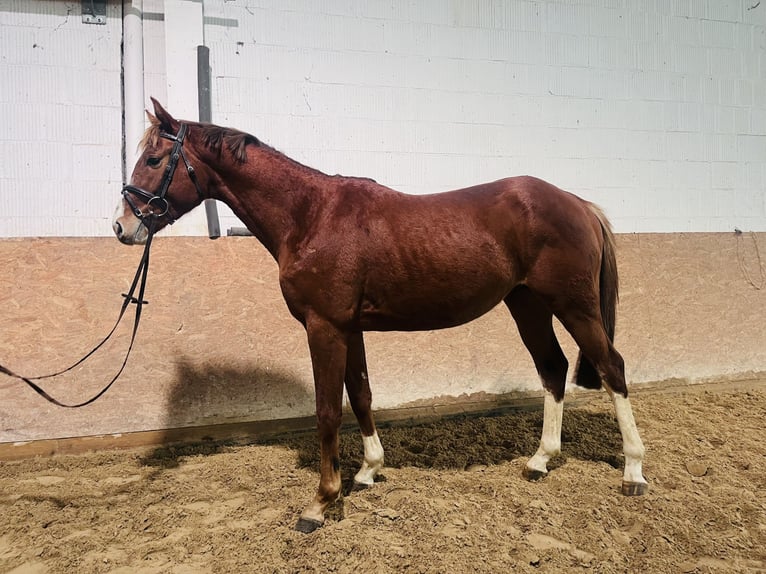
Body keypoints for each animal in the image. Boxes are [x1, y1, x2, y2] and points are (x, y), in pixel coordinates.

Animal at [114, 100, 648, 536]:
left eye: (155, 160)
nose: (122, 226)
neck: (311, 215)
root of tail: (578, 204)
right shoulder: (349, 329)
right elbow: (362, 395)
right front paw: (369, 470)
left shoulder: (325, 327)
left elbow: (328, 411)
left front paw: (321, 502)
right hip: (528, 304)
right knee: (553, 368)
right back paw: (540, 461)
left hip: (574, 306)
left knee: (611, 368)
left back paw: (633, 472)